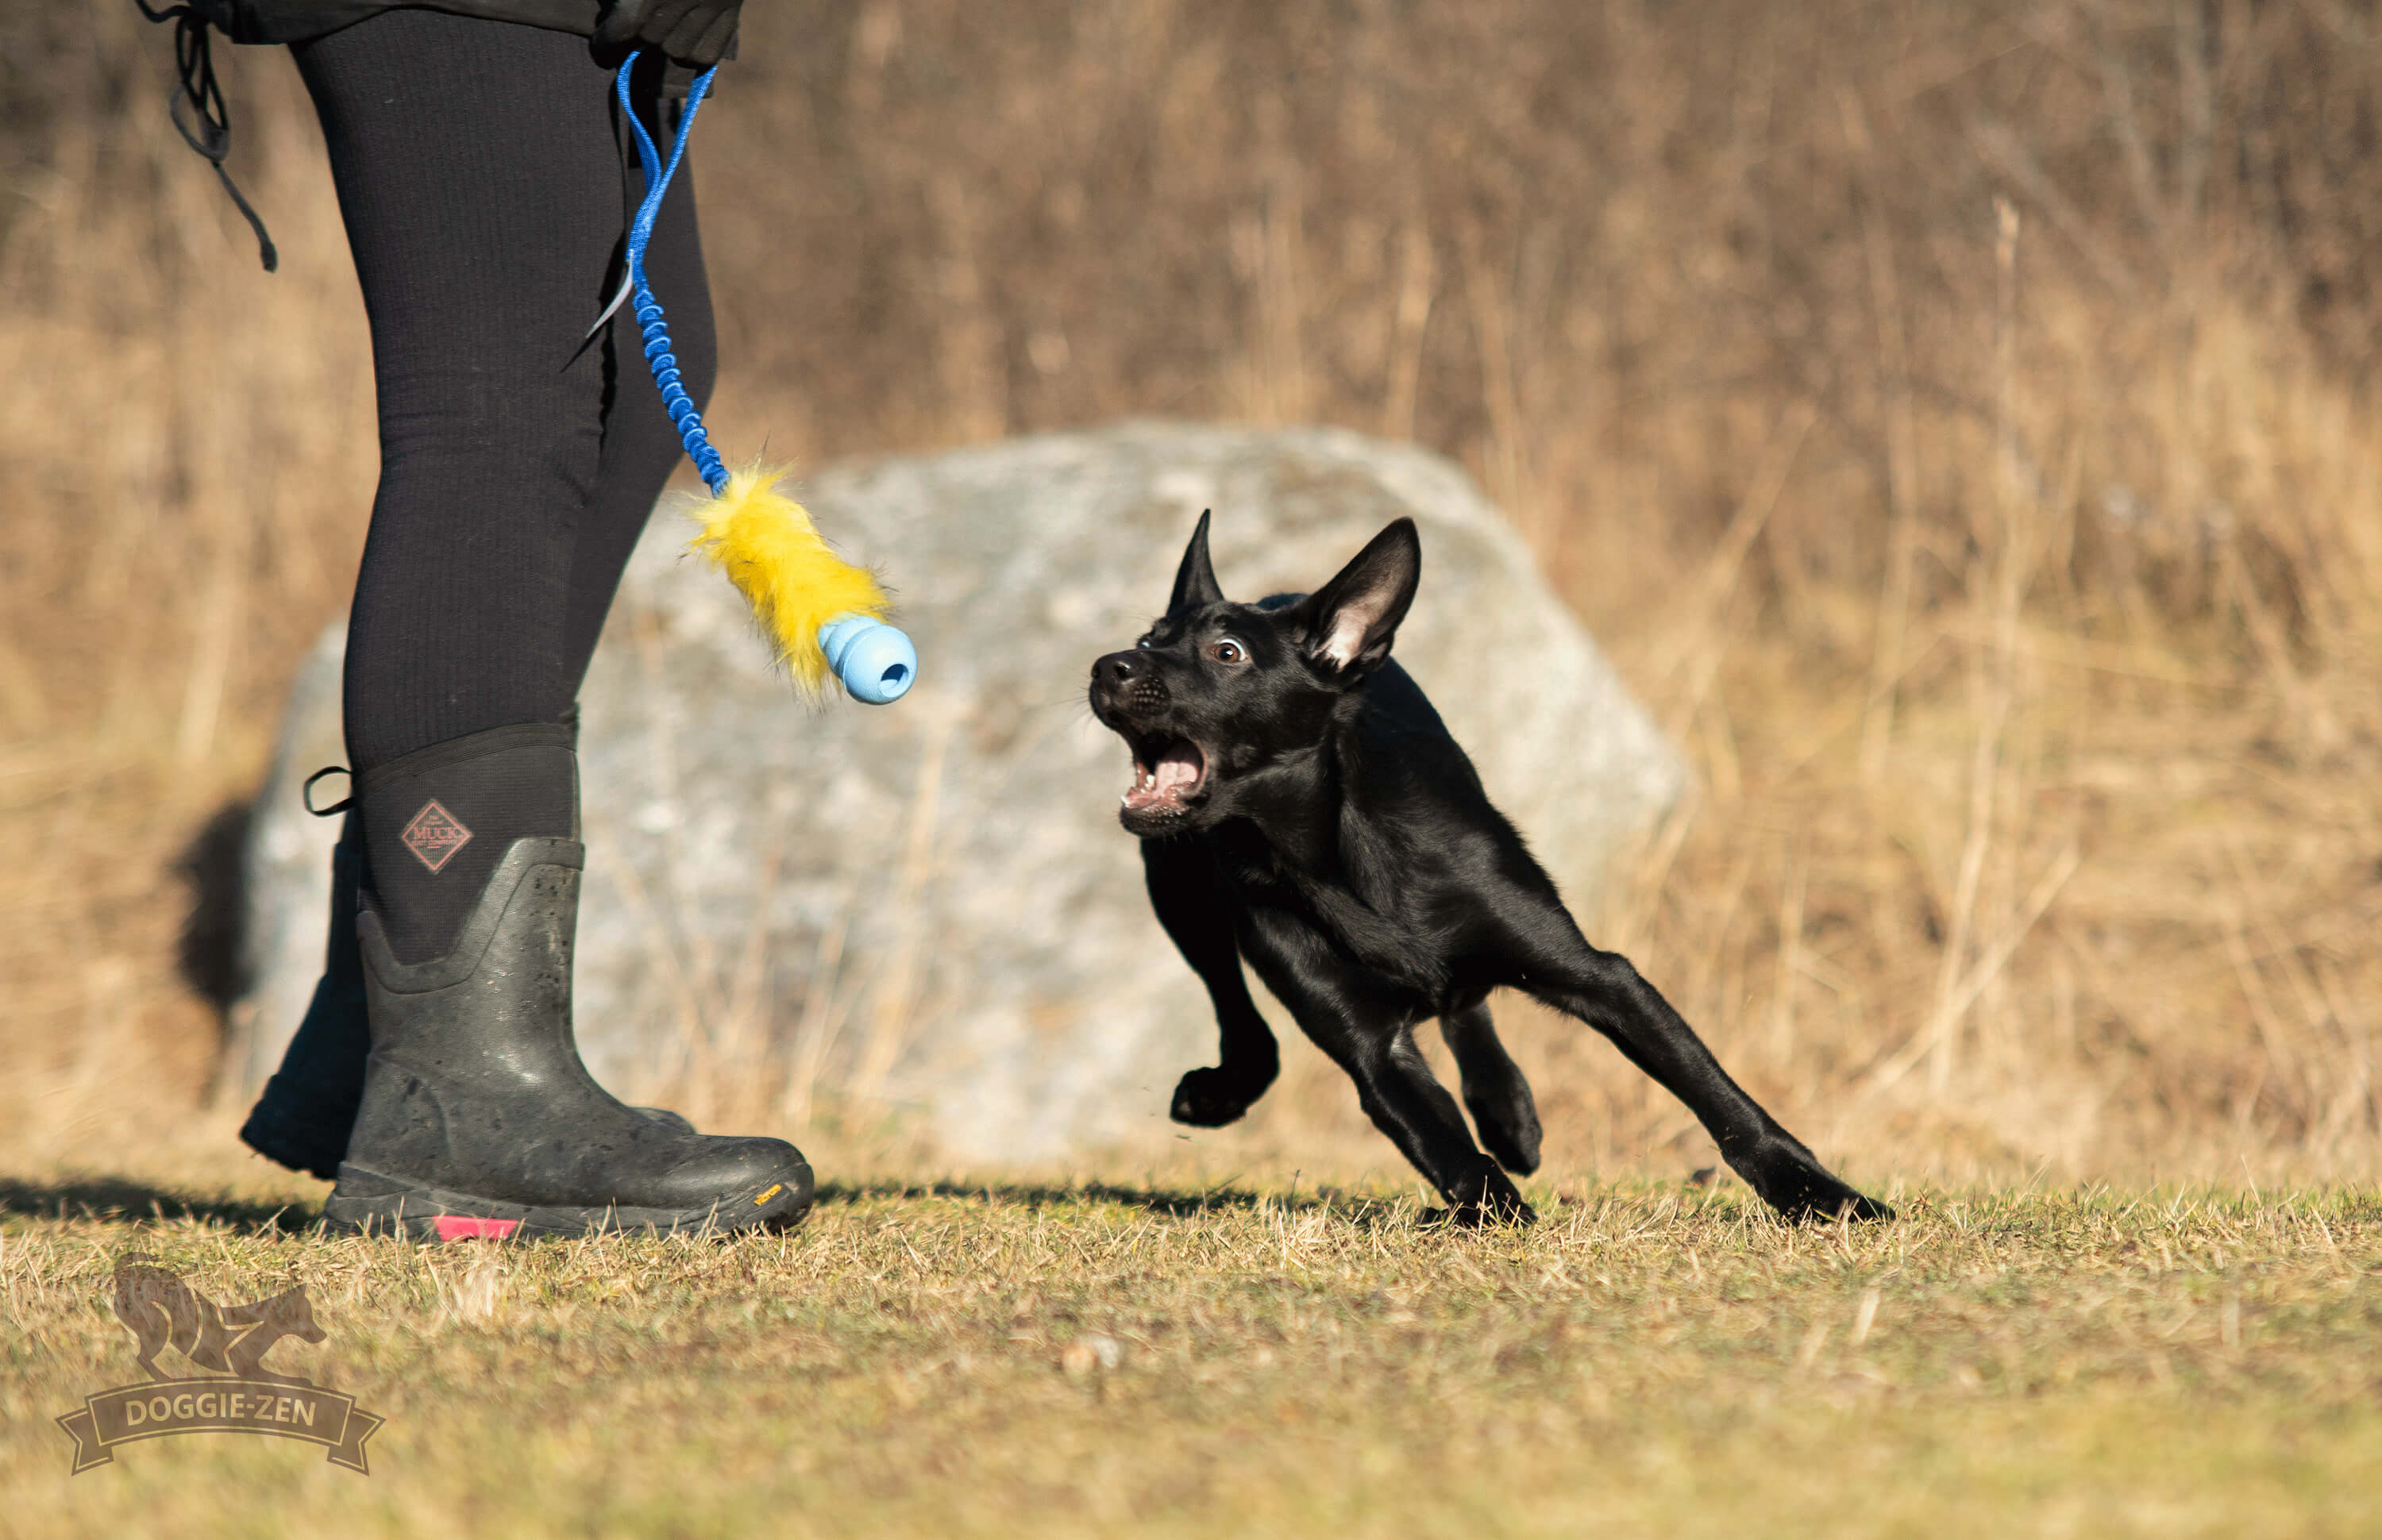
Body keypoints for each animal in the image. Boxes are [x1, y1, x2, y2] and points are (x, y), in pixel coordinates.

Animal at [1091, 518, 1887, 1228]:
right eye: (1149, 639)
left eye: (1228, 653)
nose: (1108, 667)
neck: (1331, 856)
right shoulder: (1371, 1046)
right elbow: (1442, 1145)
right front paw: (1486, 1212)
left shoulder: (1604, 978)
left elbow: (1722, 1102)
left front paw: (1825, 1197)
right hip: (1175, 883)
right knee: (1243, 1012)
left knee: (1461, 999)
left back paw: (1508, 1112)